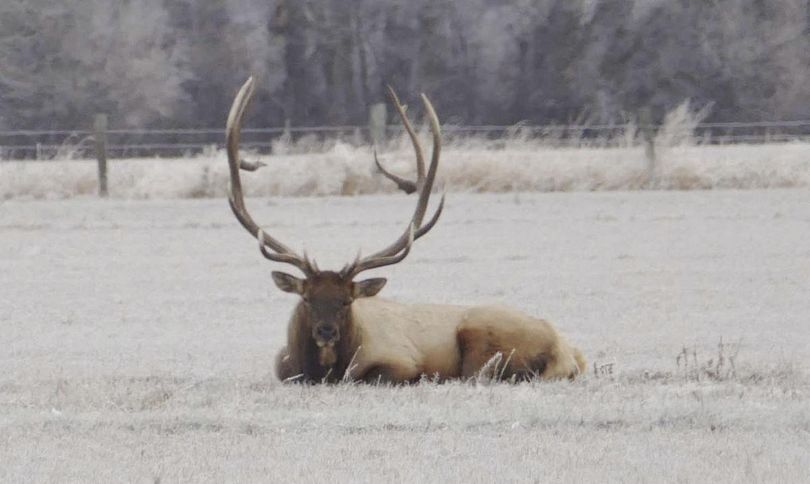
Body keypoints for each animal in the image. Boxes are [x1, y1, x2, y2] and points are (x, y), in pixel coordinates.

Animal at [224, 77, 584, 384]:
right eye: (307, 298)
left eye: (346, 301)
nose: (326, 332)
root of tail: (567, 351)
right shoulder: (283, 367)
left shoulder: (400, 361)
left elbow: (374, 375)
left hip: (481, 336)